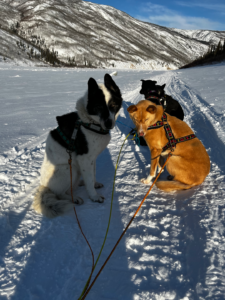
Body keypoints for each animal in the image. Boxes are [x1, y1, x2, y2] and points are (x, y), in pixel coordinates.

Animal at [32, 73, 122, 217]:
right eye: (99, 107)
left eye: (113, 105)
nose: (109, 124)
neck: (90, 122)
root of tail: (45, 187)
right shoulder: (85, 158)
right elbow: (89, 180)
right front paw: (94, 196)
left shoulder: (91, 160)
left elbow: (92, 176)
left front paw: (93, 184)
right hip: (69, 169)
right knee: (61, 193)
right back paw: (75, 199)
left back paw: (80, 183)